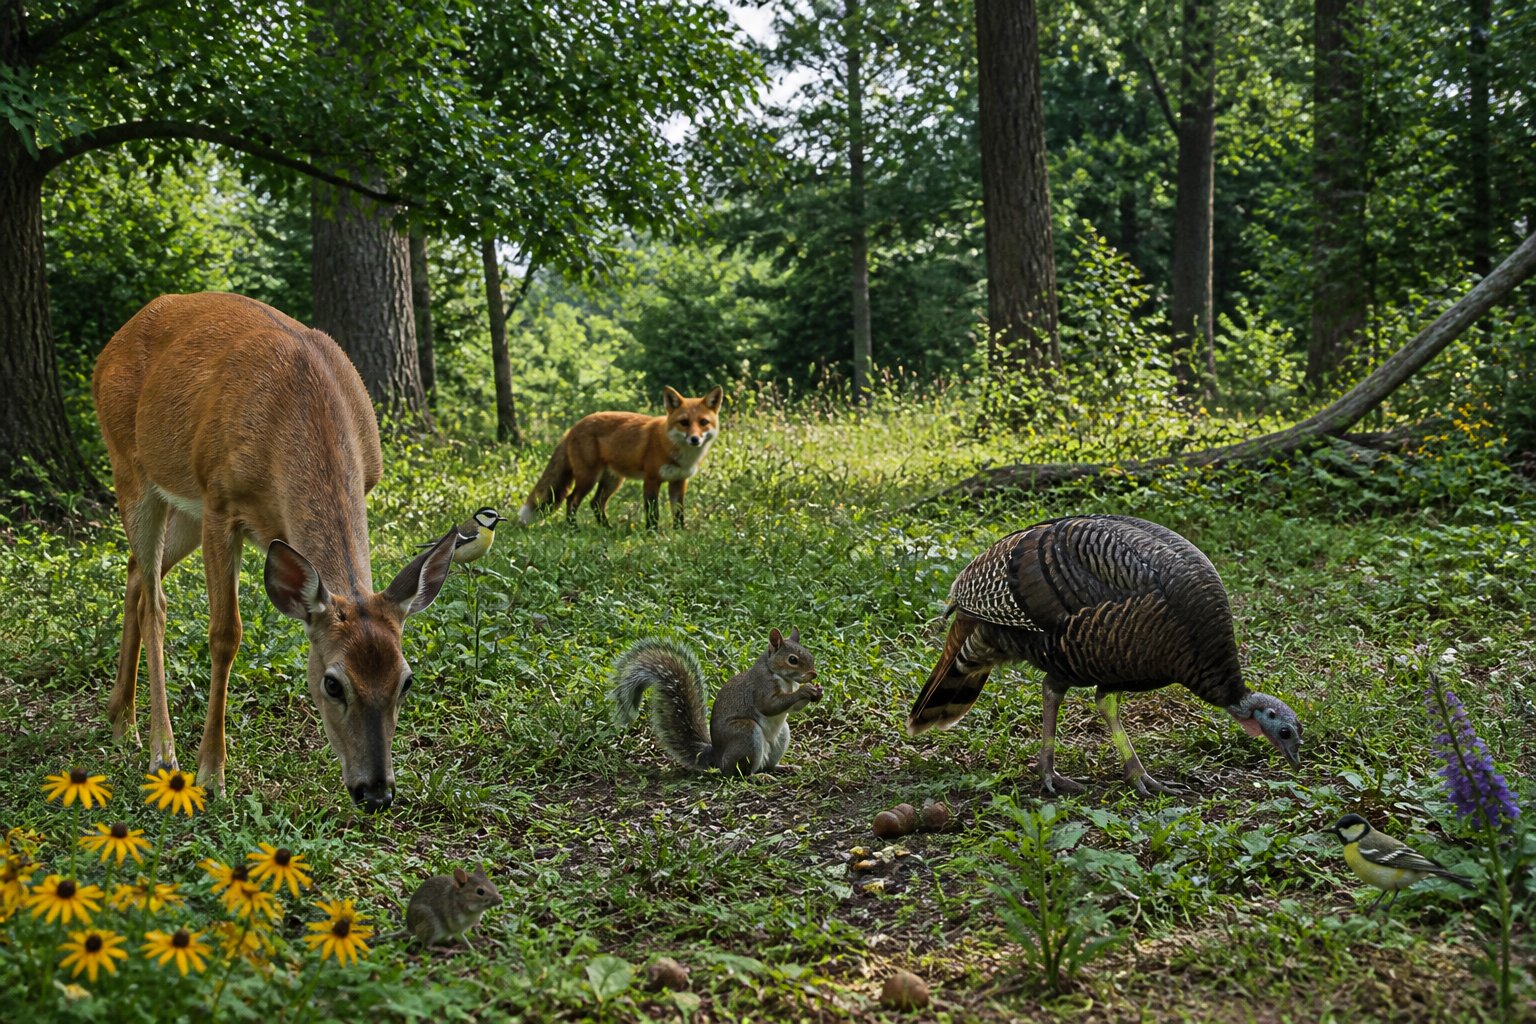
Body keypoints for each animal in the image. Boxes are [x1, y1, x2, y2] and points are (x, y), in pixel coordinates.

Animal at [92, 292, 459, 812]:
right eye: (332, 682)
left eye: (406, 681)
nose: (376, 792)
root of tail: (111, 345)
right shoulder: (220, 502)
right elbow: (225, 634)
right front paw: (211, 773)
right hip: (132, 468)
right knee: (155, 602)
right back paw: (162, 752)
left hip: (182, 508)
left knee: (137, 575)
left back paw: (121, 721)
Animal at [518, 386, 724, 529]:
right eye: (684, 423)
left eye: (703, 422)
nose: (695, 439)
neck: (673, 449)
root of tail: (574, 427)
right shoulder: (651, 479)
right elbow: (653, 513)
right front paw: (652, 535)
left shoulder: (679, 481)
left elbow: (679, 513)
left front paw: (679, 533)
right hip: (588, 478)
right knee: (571, 500)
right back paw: (573, 529)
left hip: (613, 480)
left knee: (596, 503)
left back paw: (607, 529)